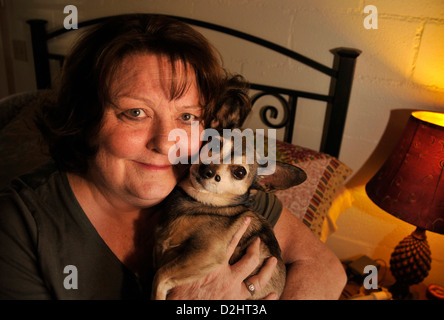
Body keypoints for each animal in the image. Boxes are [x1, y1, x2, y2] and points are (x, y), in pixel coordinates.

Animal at [151, 133, 306, 300]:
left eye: (240, 172)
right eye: (214, 144)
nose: (207, 169)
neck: (201, 202)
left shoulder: (207, 253)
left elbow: (160, 275)